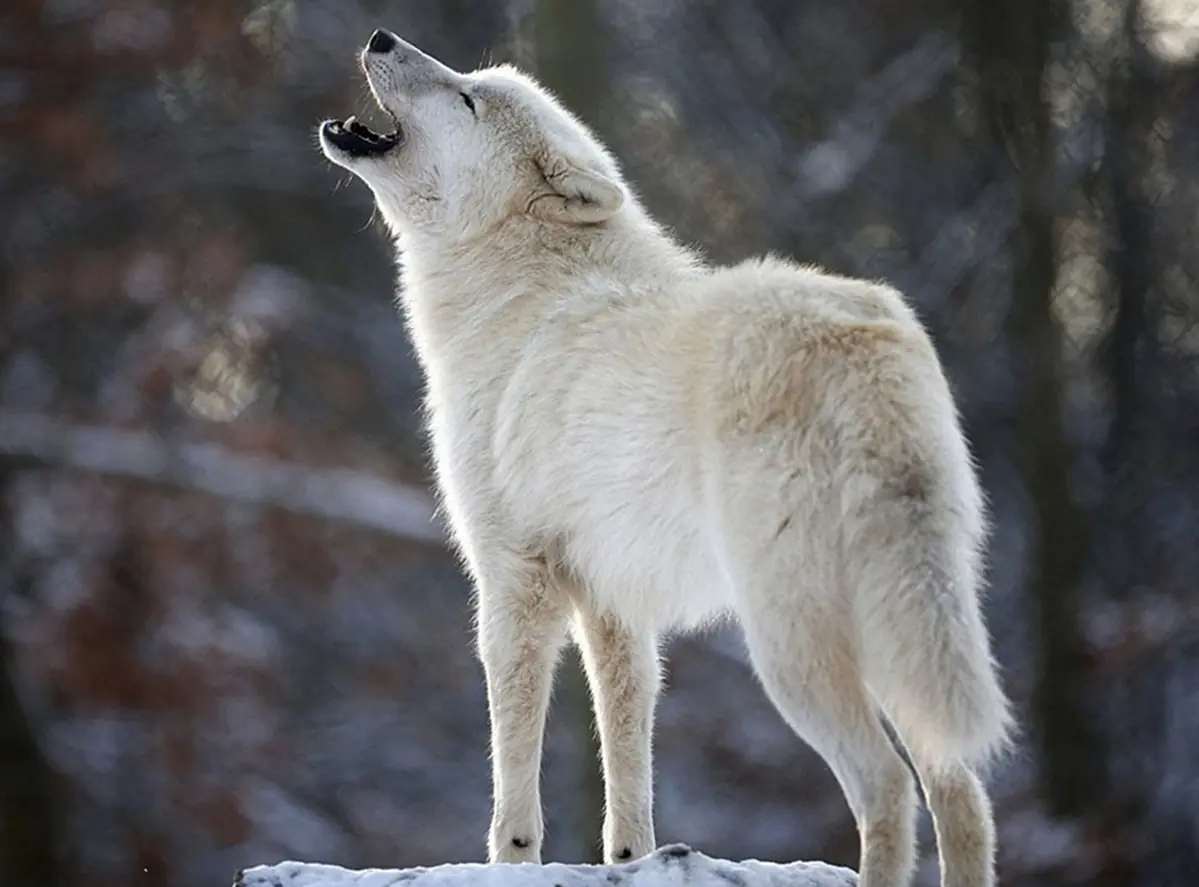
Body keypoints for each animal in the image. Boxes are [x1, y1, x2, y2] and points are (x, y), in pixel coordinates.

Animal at [318, 28, 1013, 887]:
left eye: (466, 98)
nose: (381, 36)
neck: (517, 290)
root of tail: (864, 339)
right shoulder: (614, 600)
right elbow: (627, 754)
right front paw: (631, 858)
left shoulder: (513, 581)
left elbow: (513, 775)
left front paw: (511, 860)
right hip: (897, 629)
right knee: (962, 792)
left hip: (788, 646)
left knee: (887, 785)